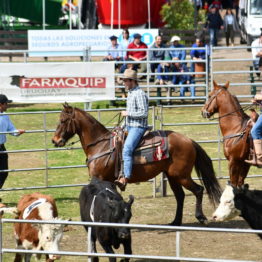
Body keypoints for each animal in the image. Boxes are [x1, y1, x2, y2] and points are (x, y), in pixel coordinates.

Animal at [51, 103, 221, 225]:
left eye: (63, 121)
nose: (55, 140)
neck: (101, 145)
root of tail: (189, 141)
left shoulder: (99, 178)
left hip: (182, 175)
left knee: (198, 190)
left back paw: (201, 217)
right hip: (173, 176)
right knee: (180, 196)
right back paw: (175, 222)